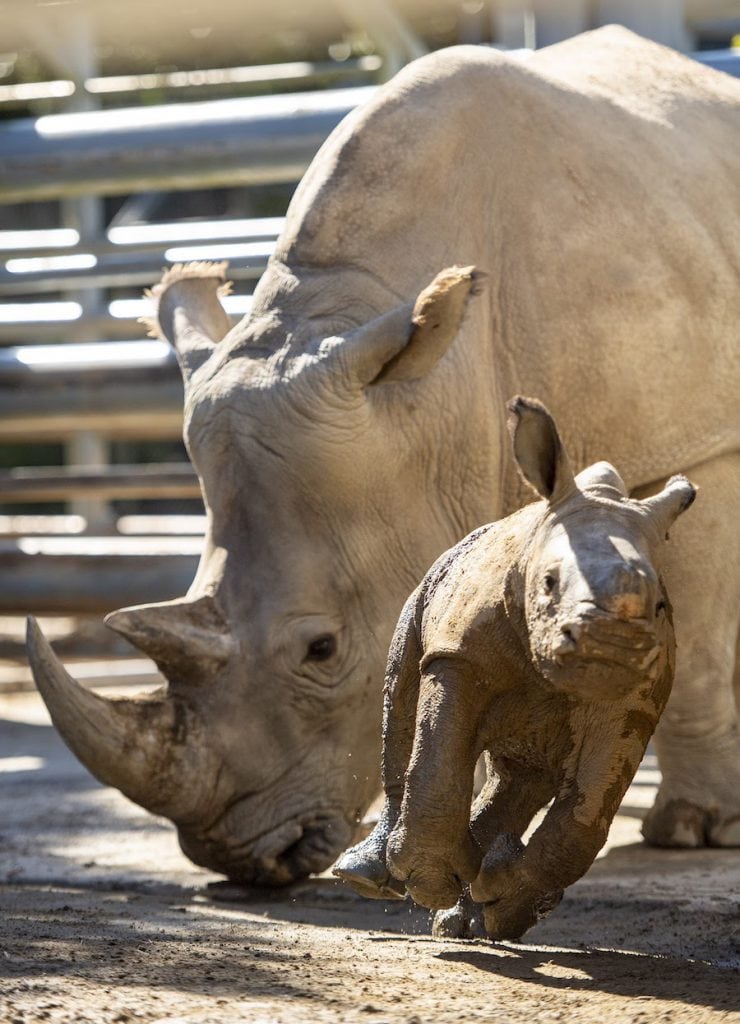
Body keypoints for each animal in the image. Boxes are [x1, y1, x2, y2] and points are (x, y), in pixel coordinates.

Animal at [333, 395, 695, 937]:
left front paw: (502, 900)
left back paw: (476, 909)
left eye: (659, 607)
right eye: (548, 583)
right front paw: (432, 882)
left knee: (526, 769)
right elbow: (437, 762)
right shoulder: (458, 654)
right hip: (426, 588)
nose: (610, 647)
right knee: (401, 700)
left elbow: (585, 818)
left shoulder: (634, 700)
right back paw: (372, 878)